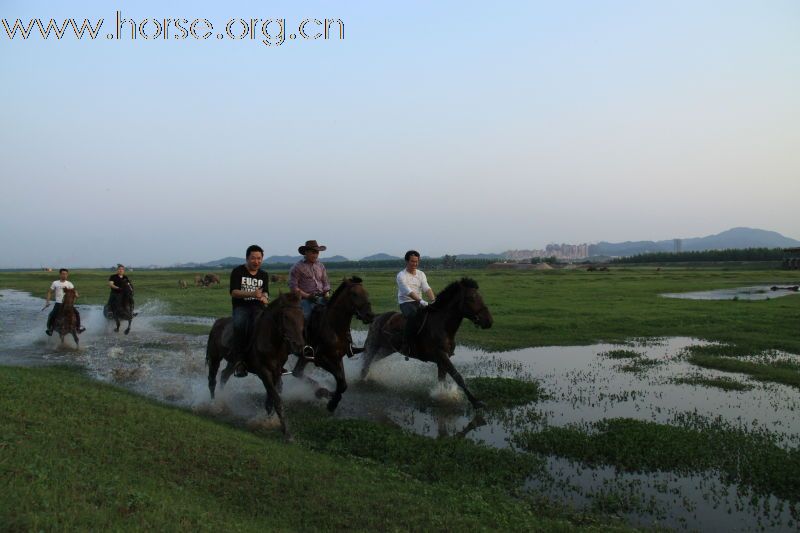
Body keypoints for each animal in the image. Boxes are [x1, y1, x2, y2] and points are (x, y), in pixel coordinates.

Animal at [206, 294, 306, 438]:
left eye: (302, 316)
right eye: (285, 316)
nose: (298, 346)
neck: (272, 342)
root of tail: (217, 323)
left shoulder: (277, 372)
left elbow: (271, 398)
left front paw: (268, 420)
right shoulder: (264, 373)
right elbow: (277, 400)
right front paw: (287, 433)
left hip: (233, 362)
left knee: (224, 375)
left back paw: (222, 399)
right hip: (214, 358)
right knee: (212, 380)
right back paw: (214, 405)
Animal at [290, 278, 376, 412]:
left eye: (366, 293)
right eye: (354, 294)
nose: (369, 315)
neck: (334, 328)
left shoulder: (337, 357)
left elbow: (342, 383)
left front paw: (330, 398)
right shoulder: (320, 359)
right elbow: (341, 381)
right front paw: (331, 402)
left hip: (304, 357)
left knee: (297, 372)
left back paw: (320, 391)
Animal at [358, 278, 494, 408]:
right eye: (471, 298)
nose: (488, 321)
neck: (441, 325)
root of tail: (377, 317)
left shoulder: (442, 360)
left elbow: (442, 379)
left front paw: (442, 395)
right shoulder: (441, 356)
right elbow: (457, 376)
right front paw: (475, 402)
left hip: (386, 349)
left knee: (372, 361)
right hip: (373, 346)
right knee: (366, 364)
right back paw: (362, 381)